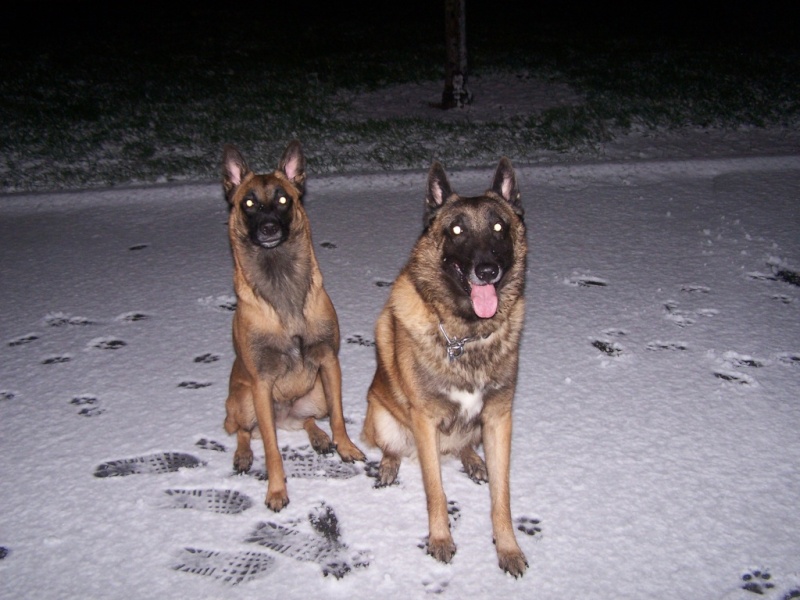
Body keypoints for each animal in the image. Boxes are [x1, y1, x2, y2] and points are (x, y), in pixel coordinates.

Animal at [222, 142, 366, 510]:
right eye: (248, 204)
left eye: (284, 199)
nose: (269, 228)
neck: (281, 282)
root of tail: (285, 414)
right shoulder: (261, 383)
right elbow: (271, 447)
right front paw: (276, 489)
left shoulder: (329, 362)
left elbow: (339, 417)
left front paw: (345, 447)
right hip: (243, 401)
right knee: (243, 431)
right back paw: (243, 455)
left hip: (317, 394)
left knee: (309, 419)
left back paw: (319, 437)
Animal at [360, 158, 528, 576]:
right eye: (456, 230)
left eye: (499, 227)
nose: (487, 270)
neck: (465, 335)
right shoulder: (425, 421)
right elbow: (435, 491)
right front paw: (440, 539)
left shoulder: (499, 418)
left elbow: (502, 498)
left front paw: (508, 547)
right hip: (381, 416)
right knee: (392, 448)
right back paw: (388, 466)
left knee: (464, 444)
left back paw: (473, 461)